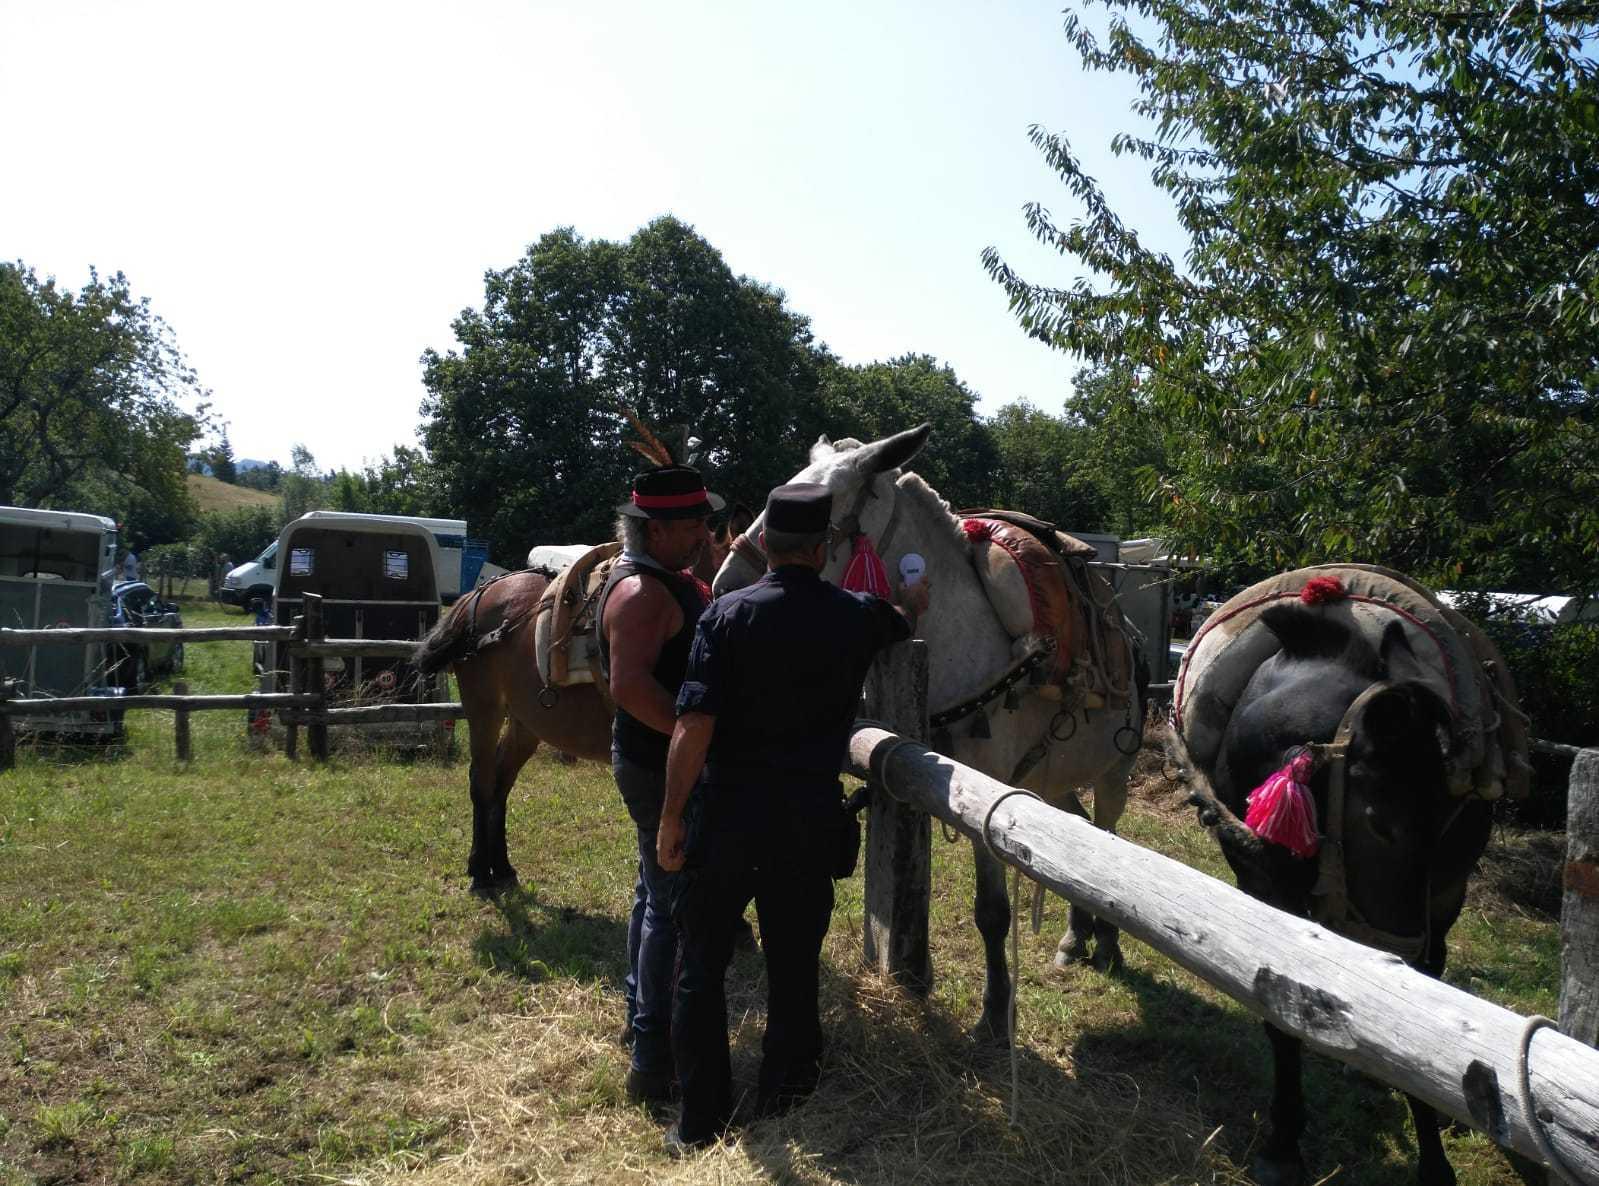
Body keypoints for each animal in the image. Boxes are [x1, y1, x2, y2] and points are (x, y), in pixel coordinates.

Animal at [418, 505, 754, 895]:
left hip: (526, 722)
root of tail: (477, 595)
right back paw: (479, 872)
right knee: (482, 781)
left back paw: (501, 867)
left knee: (502, 783)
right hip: (483, 710)